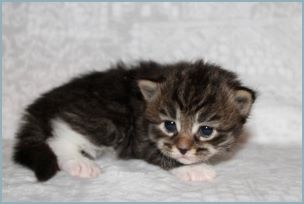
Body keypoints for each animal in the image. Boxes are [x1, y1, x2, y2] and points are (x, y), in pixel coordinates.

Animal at [11, 60, 255, 182]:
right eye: (170, 125)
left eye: (205, 130)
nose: (184, 149)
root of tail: (46, 102)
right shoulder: (138, 135)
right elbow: (161, 153)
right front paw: (194, 169)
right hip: (107, 118)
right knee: (59, 135)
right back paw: (80, 163)